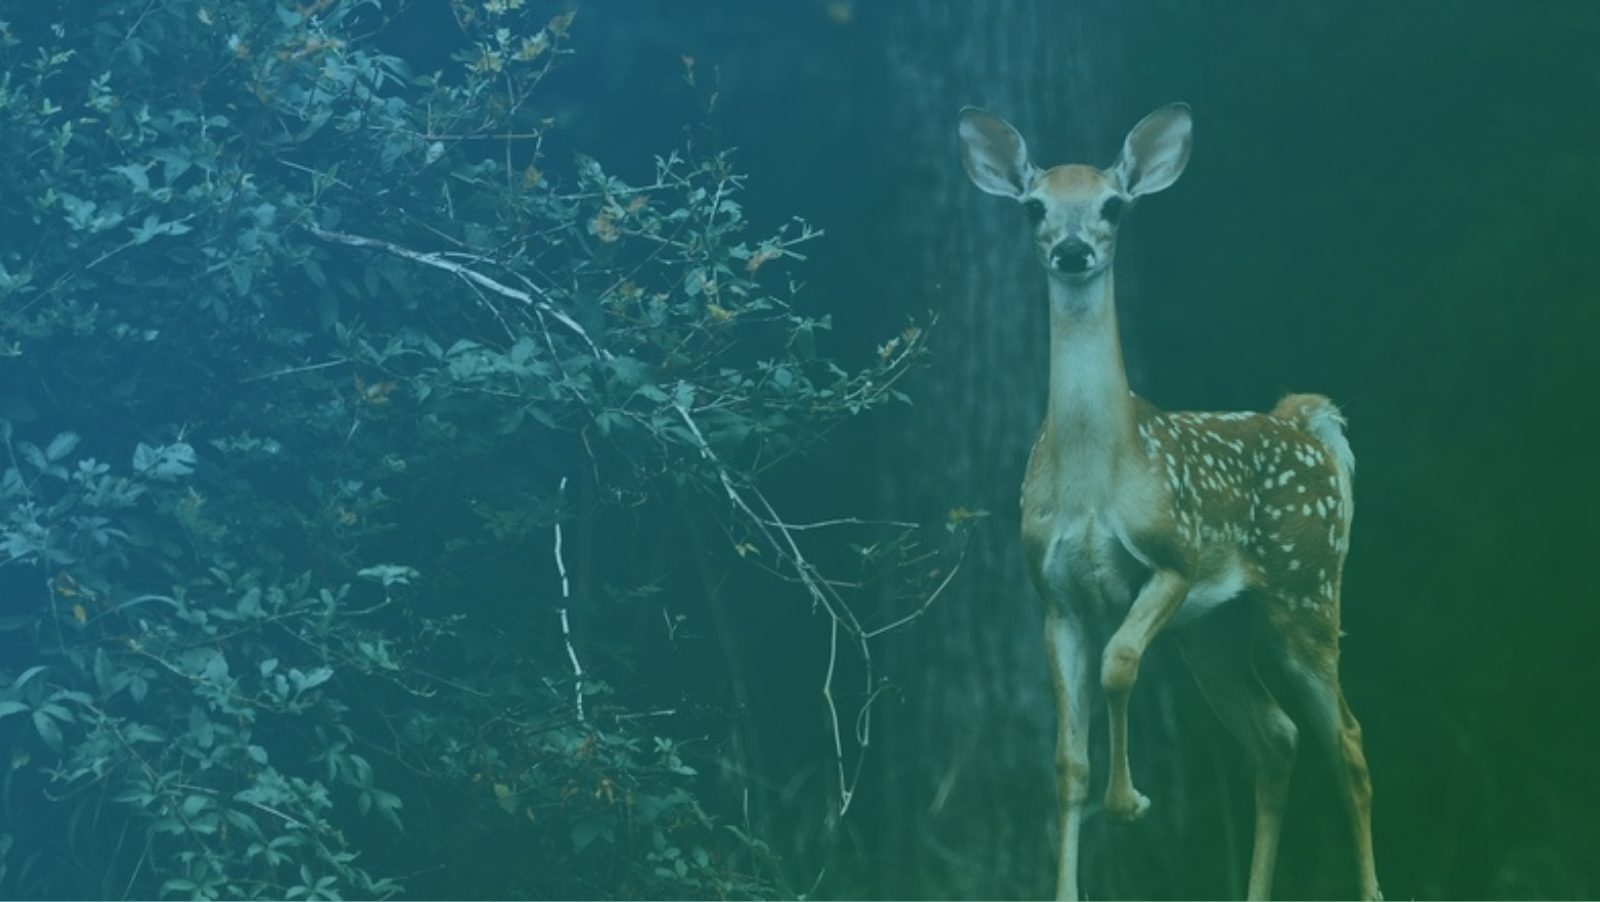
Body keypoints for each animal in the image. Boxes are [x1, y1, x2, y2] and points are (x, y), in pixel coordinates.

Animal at [956, 103, 1380, 901]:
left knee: (1346, 736)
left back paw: (1371, 888)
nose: (1071, 251)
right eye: (1034, 206)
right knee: (1275, 736)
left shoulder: (1174, 557)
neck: (1096, 479)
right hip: (1214, 630)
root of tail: (1306, 422)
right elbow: (1067, 763)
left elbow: (1119, 662)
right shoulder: (1054, 597)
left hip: (1306, 589)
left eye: (1113, 205)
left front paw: (1129, 803)